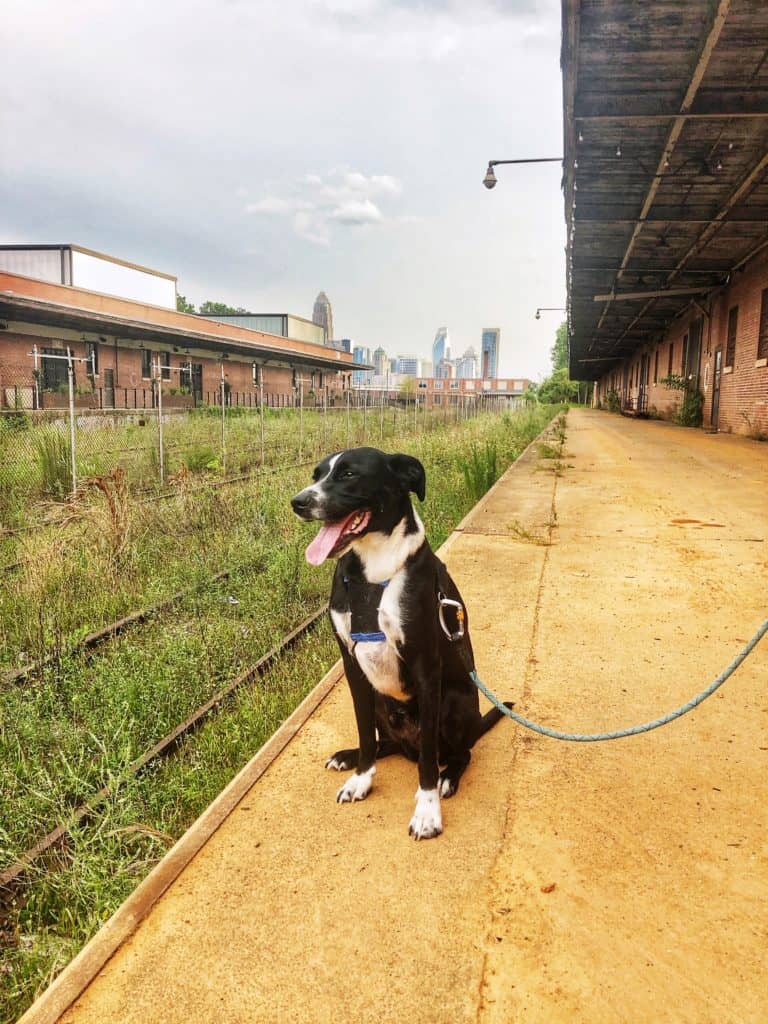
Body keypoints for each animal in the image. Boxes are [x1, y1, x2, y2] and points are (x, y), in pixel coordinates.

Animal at [292, 448, 512, 839]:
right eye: (316, 475)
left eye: (349, 474)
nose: (298, 502)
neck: (371, 571)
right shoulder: (352, 668)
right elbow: (366, 733)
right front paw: (361, 779)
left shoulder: (426, 668)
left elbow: (427, 760)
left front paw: (427, 811)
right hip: (381, 699)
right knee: (387, 742)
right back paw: (349, 756)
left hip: (452, 703)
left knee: (459, 752)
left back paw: (449, 777)